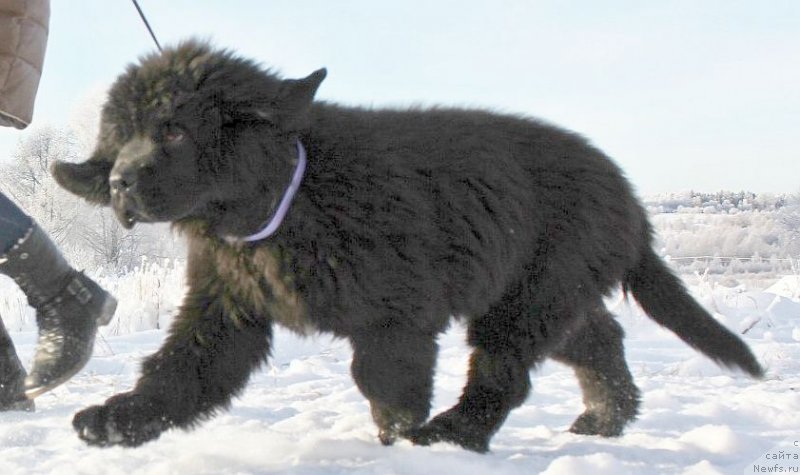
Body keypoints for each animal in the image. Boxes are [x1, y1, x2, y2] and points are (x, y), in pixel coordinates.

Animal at [51, 40, 764, 450]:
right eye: (119, 138)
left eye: (173, 131)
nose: (119, 183)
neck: (285, 197)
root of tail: (631, 199)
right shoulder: (227, 308)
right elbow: (181, 370)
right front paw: (121, 419)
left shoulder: (396, 315)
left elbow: (386, 385)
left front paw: (395, 440)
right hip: (542, 291)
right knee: (597, 340)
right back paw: (605, 419)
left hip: (530, 294)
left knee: (505, 371)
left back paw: (454, 435)